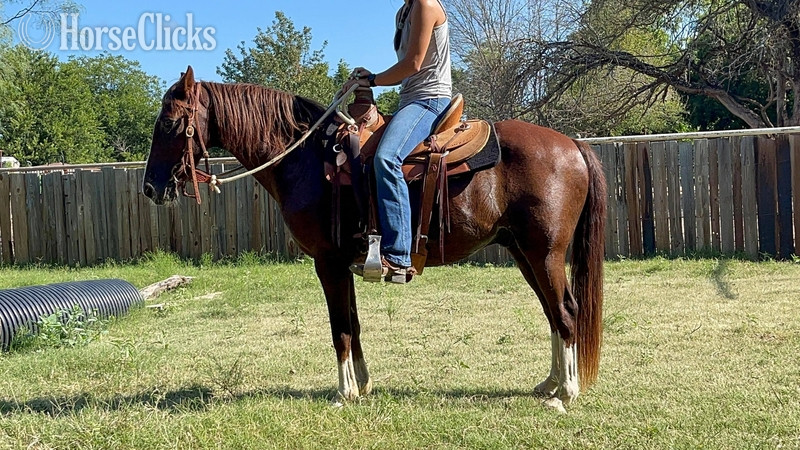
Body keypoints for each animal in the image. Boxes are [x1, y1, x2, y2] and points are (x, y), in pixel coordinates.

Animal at [143, 67, 606, 411]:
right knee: (553, 313)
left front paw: (344, 392)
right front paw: (363, 384)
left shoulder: (327, 262)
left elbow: (340, 329)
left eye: (169, 122)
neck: (307, 159)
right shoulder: (343, 264)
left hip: (545, 253)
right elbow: (354, 324)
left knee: (566, 312)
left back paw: (566, 393)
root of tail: (573, 145)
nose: (150, 187)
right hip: (524, 253)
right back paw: (549, 384)